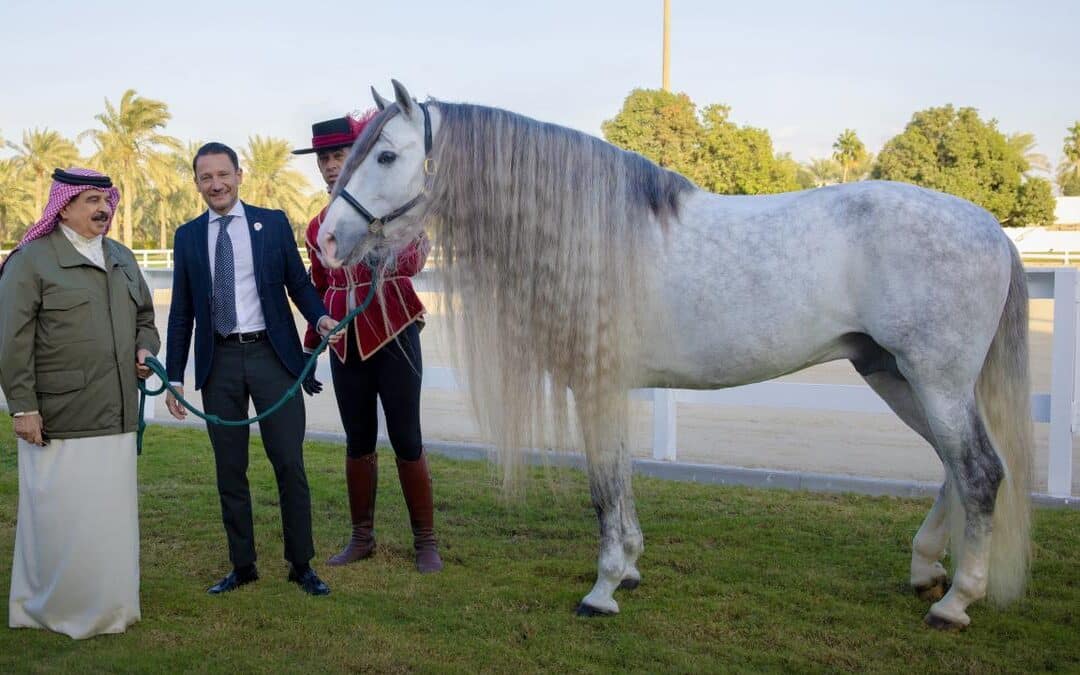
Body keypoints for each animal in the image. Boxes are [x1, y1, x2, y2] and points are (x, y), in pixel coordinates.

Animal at [315, 81, 1032, 630]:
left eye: (386, 154)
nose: (325, 240)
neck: (587, 231)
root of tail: (991, 228)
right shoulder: (604, 384)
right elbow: (620, 479)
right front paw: (630, 566)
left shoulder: (594, 384)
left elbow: (604, 485)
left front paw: (602, 588)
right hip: (894, 375)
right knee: (953, 467)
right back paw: (926, 567)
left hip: (936, 382)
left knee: (979, 471)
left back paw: (955, 601)